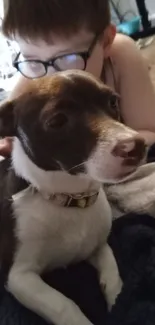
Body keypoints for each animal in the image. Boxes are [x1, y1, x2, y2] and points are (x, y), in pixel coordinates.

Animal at [0, 71, 145, 324]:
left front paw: (117, 302)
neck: (71, 198)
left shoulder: (98, 246)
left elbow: (113, 274)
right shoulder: (19, 276)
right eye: (57, 121)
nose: (136, 145)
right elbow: (64, 305)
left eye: (113, 102)